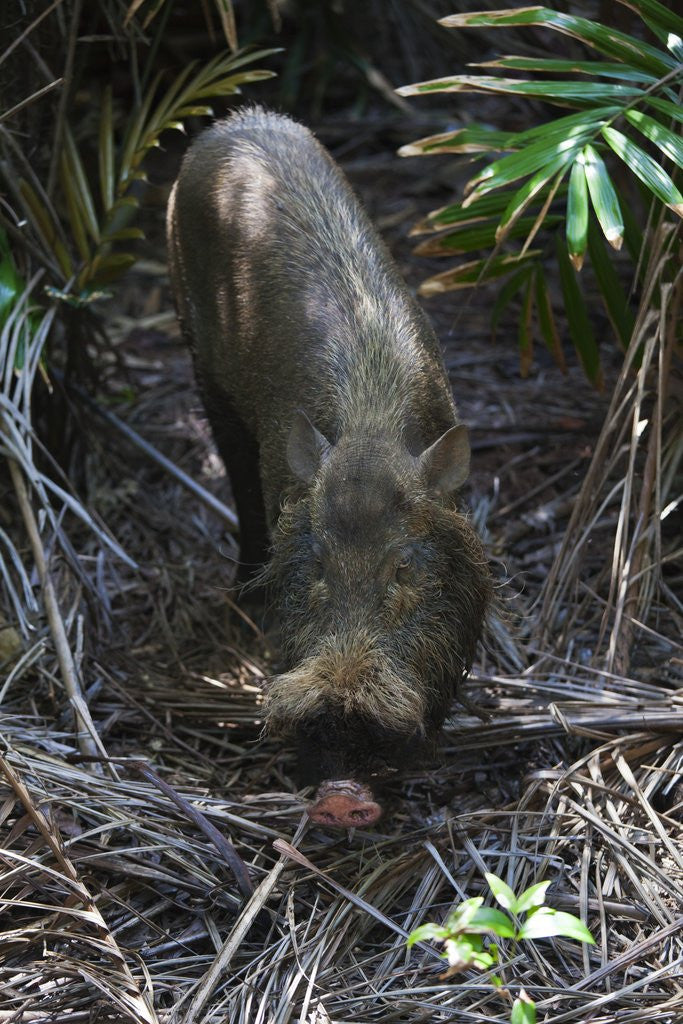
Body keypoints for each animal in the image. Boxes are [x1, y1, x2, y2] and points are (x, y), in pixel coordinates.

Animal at [167, 107, 491, 828]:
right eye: (314, 568)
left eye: (404, 571)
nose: (342, 798)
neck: (370, 431)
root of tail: (238, 121)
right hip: (198, 356)